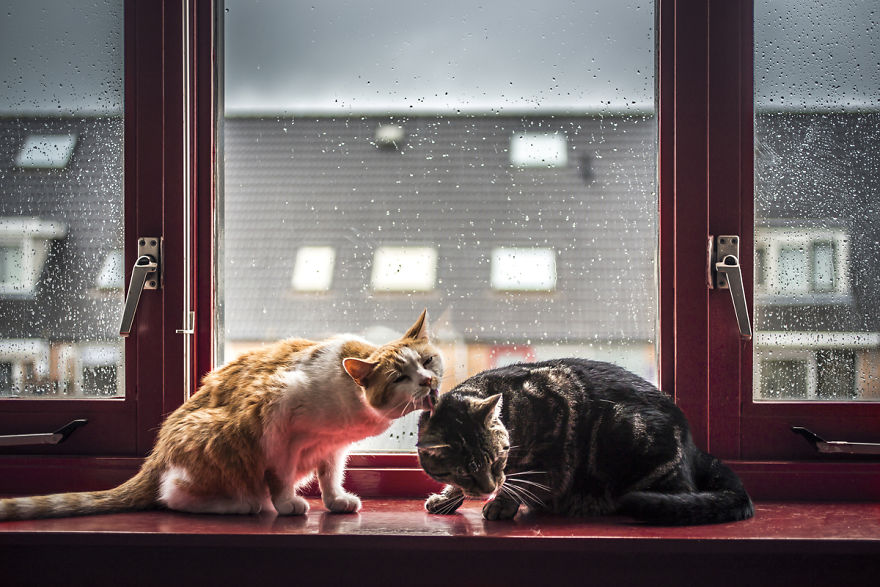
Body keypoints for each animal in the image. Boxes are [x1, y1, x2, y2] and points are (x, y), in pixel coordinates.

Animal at [0, 310, 440, 520]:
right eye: (400, 377)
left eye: (428, 361)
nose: (429, 381)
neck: (349, 404)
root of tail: (156, 454)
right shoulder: (278, 419)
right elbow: (280, 475)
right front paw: (287, 504)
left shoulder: (332, 447)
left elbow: (330, 477)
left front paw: (335, 501)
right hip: (211, 436)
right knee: (172, 494)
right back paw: (245, 505)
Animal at [416, 358, 752, 528]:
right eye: (465, 471)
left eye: (499, 458)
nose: (489, 488)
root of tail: (694, 449)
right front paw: (447, 497)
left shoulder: (549, 434)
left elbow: (522, 480)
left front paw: (502, 503)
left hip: (628, 433)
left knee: (679, 494)